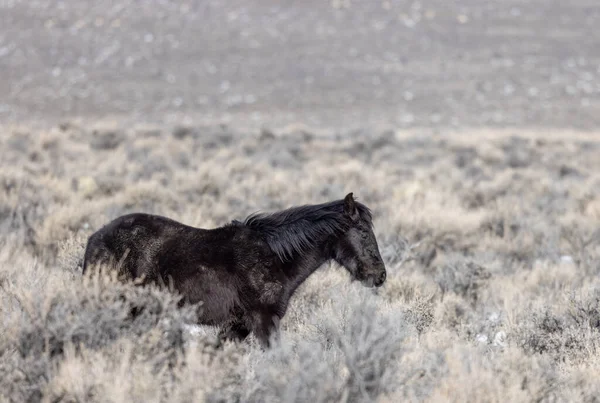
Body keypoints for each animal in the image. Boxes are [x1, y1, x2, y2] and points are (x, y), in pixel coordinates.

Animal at [82, 193, 386, 348]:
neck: (273, 256)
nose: (380, 275)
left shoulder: (237, 327)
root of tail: (95, 238)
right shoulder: (264, 321)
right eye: (362, 231)